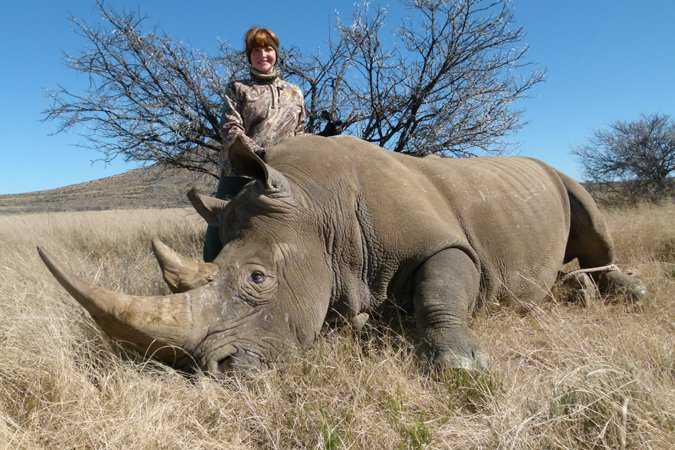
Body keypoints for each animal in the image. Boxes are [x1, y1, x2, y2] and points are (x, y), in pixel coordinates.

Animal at [38, 135, 646, 373]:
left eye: (257, 279)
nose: (212, 369)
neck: (316, 204)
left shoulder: (447, 243)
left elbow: (440, 288)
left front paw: (460, 363)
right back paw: (579, 291)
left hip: (557, 174)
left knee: (590, 215)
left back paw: (626, 291)